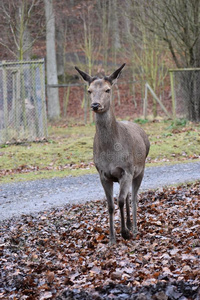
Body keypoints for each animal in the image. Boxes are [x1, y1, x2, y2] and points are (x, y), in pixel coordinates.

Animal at [75, 63, 150, 244]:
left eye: (108, 89)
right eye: (89, 90)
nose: (95, 105)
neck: (110, 152)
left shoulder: (127, 170)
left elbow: (121, 201)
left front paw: (125, 232)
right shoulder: (103, 174)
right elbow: (110, 205)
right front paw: (111, 237)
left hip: (140, 170)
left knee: (134, 197)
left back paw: (134, 228)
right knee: (129, 195)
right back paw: (129, 224)